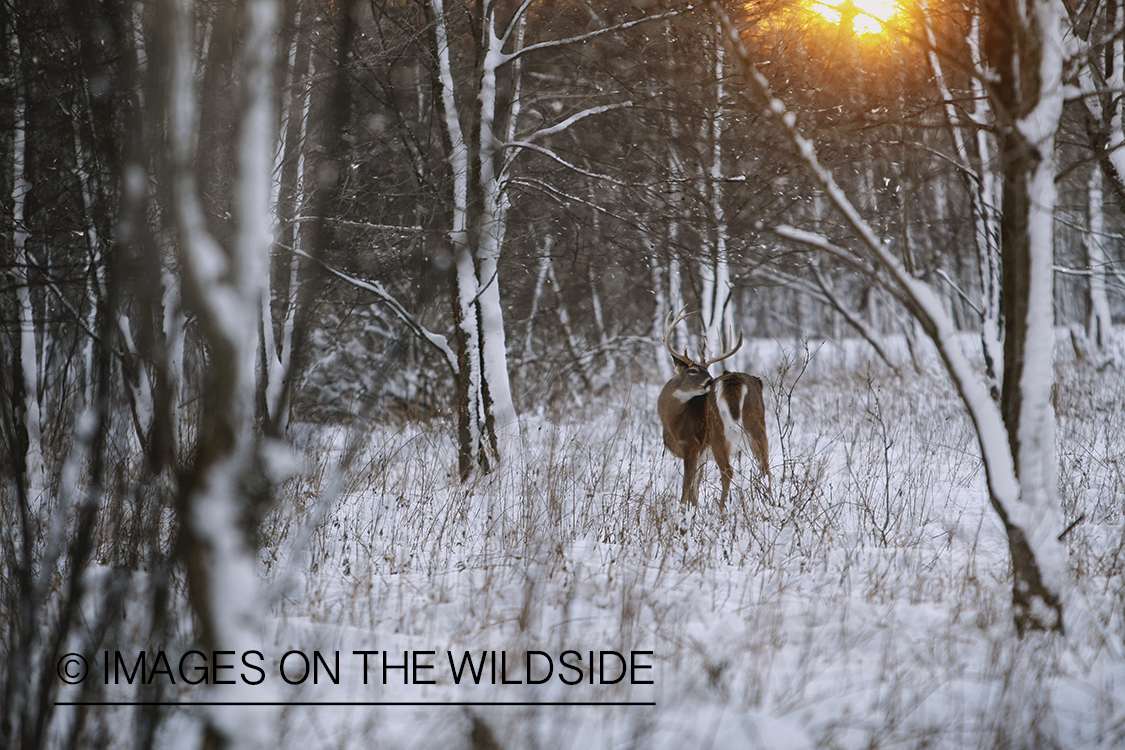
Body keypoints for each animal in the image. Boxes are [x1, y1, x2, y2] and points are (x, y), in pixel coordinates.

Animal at [657, 305, 769, 510]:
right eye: (693, 370)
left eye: (707, 370)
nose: (710, 380)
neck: (673, 419)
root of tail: (734, 380)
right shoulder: (701, 456)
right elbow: (695, 490)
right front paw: (694, 511)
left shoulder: (691, 445)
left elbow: (686, 487)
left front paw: (682, 512)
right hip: (756, 424)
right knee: (765, 466)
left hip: (719, 432)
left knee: (728, 472)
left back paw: (722, 510)